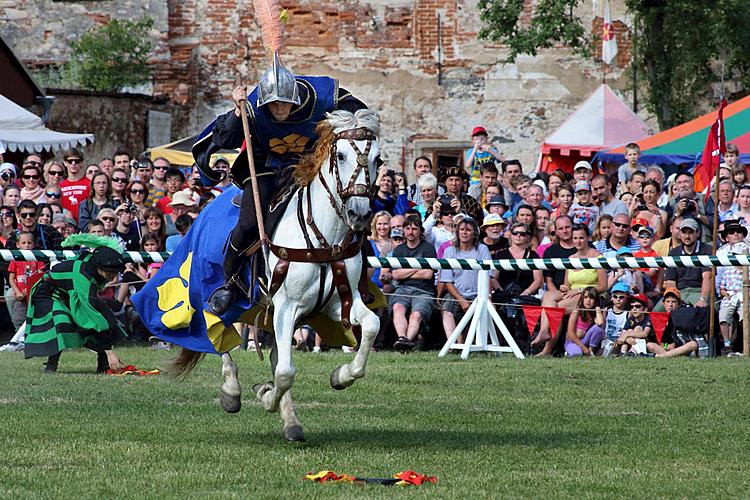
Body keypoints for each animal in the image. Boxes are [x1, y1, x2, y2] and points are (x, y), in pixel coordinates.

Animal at [171, 110, 382, 442]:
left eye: (378, 159)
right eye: (342, 155)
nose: (359, 214)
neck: (323, 238)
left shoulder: (338, 303)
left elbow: (371, 326)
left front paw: (341, 376)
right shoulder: (286, 306)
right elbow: (284, 372)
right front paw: (266, 395)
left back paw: (291, 422)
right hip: (211, 293)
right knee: (216, 333)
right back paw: (231, 390)